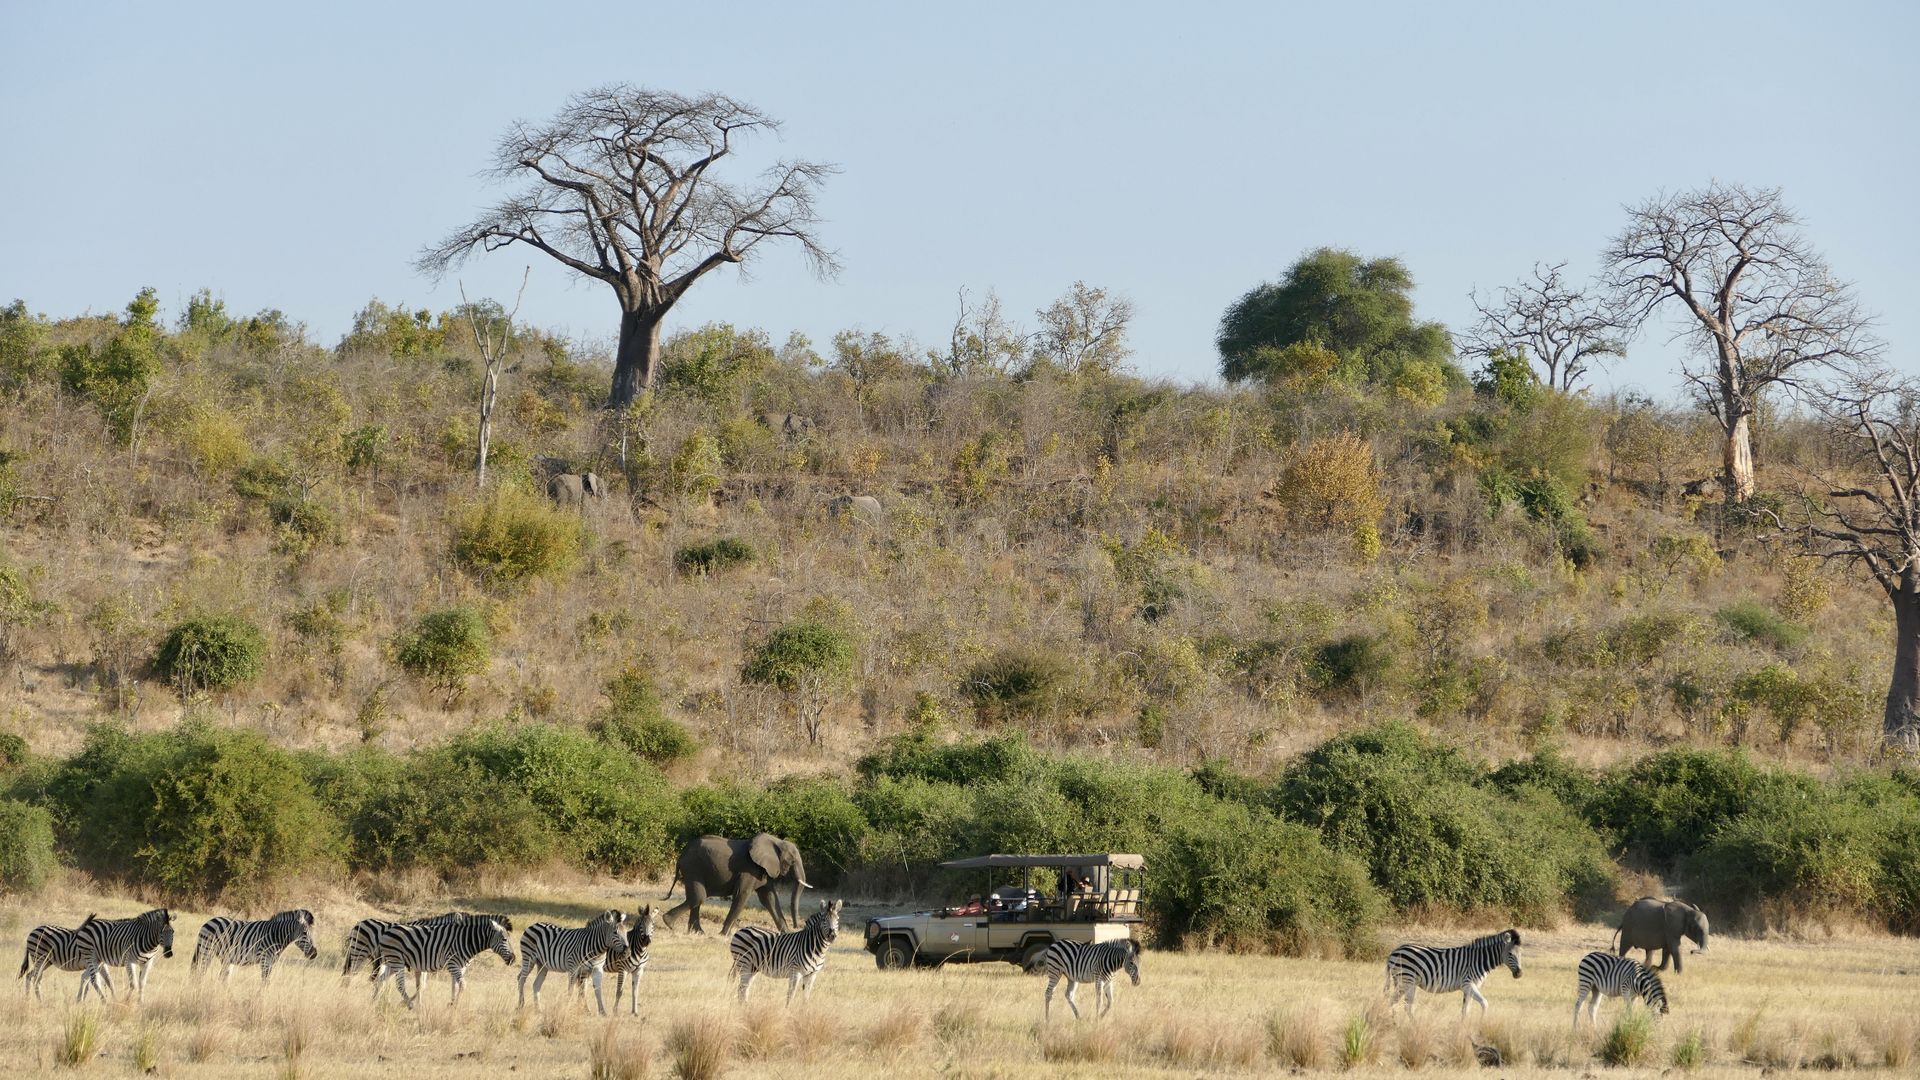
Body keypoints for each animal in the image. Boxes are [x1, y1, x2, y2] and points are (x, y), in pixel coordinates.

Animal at [366, 910, 514, 1006]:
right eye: (505, 939)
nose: (513, 959)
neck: (465, 940)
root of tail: (386, 932)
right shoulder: (450, 964)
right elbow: (462, 985)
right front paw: (454, 1004)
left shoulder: (459, 966)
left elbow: (454, 986)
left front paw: (452, 1003)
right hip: (392, 961)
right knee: (392, 982)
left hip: (393, 962)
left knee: (380, 980)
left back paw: (374, 1001)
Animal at [660, 834, 810, 933]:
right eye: (792, 861)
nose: (797, 926)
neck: (777, 841)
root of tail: (681, 855)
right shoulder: (749, 869)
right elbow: (742, 894)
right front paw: (723, 934)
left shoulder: (763, 870)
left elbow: (769, 898)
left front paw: (787, 935)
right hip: (693, 868)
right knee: (698, 897)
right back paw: (669, 923)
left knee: (697, 898)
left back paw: (697, 933)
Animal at [1390, 926, 1520, 1014]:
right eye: (1510, 954)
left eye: (1521, 954)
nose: (1519, 974)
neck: (1479, 959)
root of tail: (1395, 951)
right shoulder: (1468, 984)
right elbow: (1484, 1004)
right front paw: (1481, 1025)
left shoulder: (1471, 987)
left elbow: (1465, 1010)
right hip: (1408, 981)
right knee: (1406, 1006)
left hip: (1403, 982)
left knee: (1393, 1002)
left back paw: (1394, 1023)